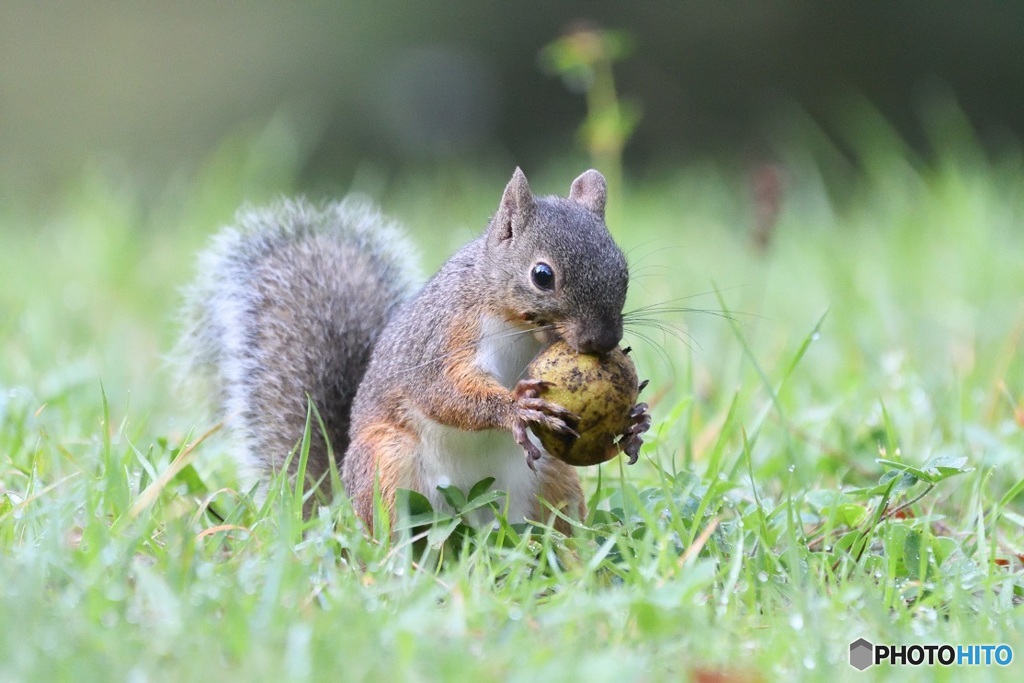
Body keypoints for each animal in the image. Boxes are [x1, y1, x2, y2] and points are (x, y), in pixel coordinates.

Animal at [178, 166, 647, 532]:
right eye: (542, 275)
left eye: (623, 270)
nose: (603, 340)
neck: (520, 327)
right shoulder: (443, 338)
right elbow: (443, 392)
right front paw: (515, 408)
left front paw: (636, 422)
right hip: (387, 467)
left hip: (552, 477)